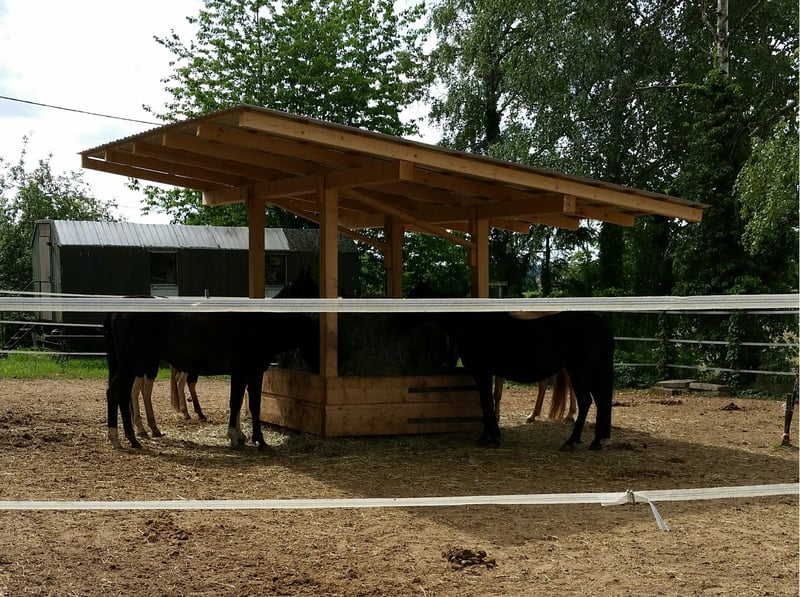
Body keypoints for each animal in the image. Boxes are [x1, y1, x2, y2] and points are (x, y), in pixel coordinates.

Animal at [405, 286, 614, 450]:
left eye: (413, 299)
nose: (399, 324)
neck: (473, 324)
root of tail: (599, 323)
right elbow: (489, 401)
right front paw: (491, 435)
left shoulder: (482, 372)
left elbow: (486, 402)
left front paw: (489, 438)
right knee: (600, 401)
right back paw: (595, 442)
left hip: (579, 371)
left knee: (586, 401)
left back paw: (571, 441)